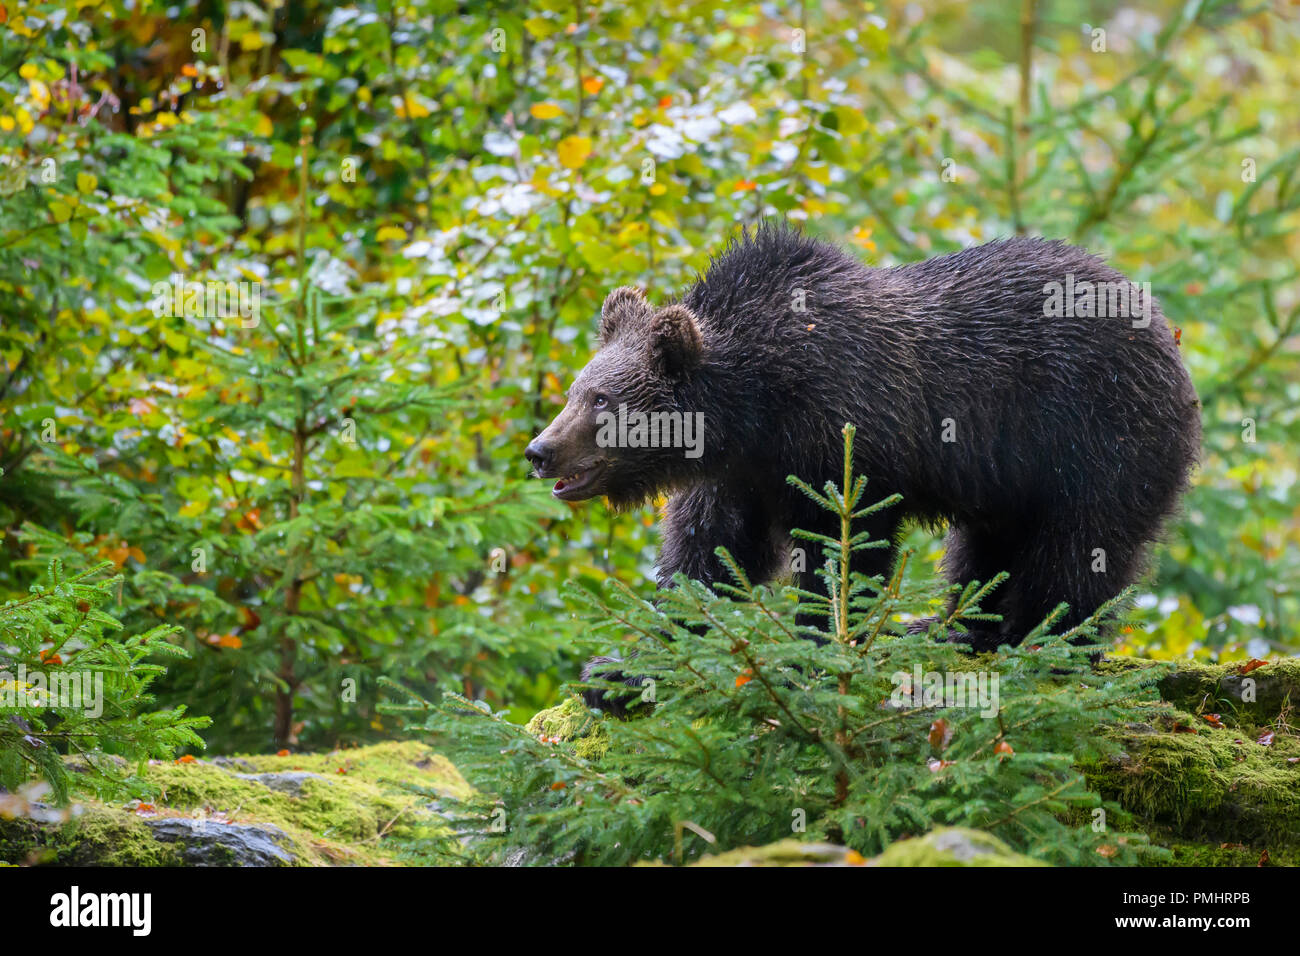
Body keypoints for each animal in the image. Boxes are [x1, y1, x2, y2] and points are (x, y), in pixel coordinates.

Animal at [525, 224, 1201, 710]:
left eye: (602, 401)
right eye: (575, 390)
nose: (539, 450)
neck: (755, 406)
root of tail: (1161, 325)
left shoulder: (846, 438)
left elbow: (842, 548)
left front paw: (817, 652)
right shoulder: (741, 475)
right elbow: (708, 556)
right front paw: (619, 672)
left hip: (1093, 438)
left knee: (1079, 548)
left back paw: (1033, 641)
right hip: (1011, 476)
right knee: (986, 549)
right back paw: (951, 626)